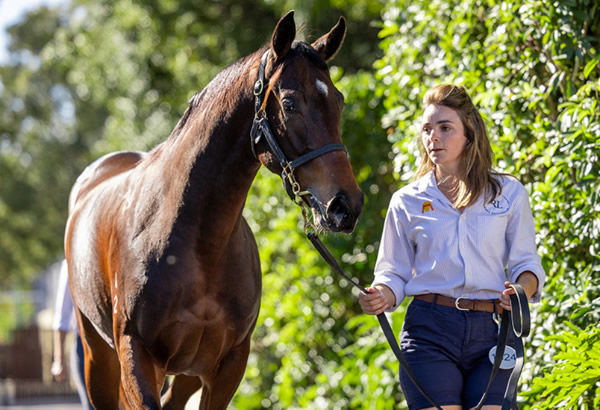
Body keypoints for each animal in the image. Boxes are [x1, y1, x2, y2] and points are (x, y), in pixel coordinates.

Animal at [66, 10, 366, 410]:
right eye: (289, 104)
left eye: (340, 101)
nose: (346, 206)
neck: (197, 244)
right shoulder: (137, 358)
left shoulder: (226, 366)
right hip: (99, 357)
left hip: (185, 374)